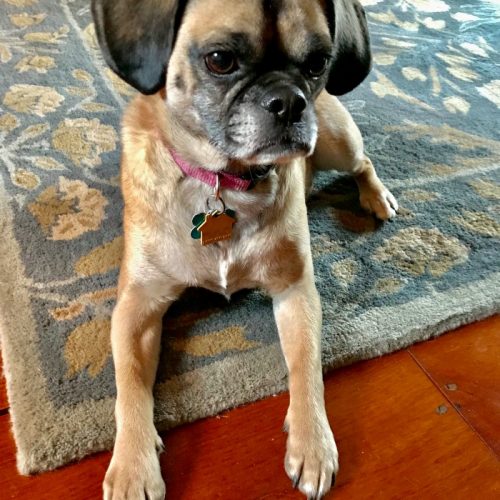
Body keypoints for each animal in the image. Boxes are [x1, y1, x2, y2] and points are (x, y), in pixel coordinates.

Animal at [91, 0, 398, 498]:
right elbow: (131, 385)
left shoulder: (296, 291)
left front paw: (313, 442)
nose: (289, 101)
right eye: (220, 60)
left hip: (336, 140)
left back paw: (376, 197)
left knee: (363, 163)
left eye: (318, 63)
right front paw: (134, 466)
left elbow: (306, 365)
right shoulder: (136, 307)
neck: (224, 181)